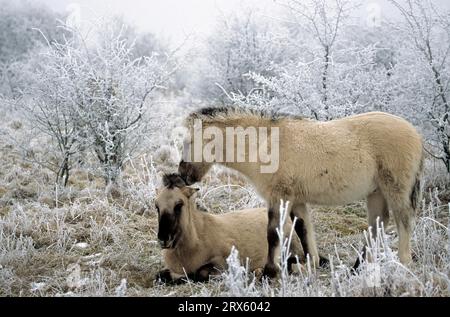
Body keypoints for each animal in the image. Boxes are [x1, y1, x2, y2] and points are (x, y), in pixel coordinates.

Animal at [178, 107, 424, 276]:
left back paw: (403, 263)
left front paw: (270, 271)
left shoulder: (279, 197)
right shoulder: (296, 201)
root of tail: (415, 134)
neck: (265, 144)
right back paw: (359, 266)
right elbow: (303, 230)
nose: (182, 175)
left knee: (403, 221)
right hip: (376, 192)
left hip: (395, 189)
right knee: (377, 225)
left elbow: (273, 233)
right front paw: (312, 264)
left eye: (189, 143)